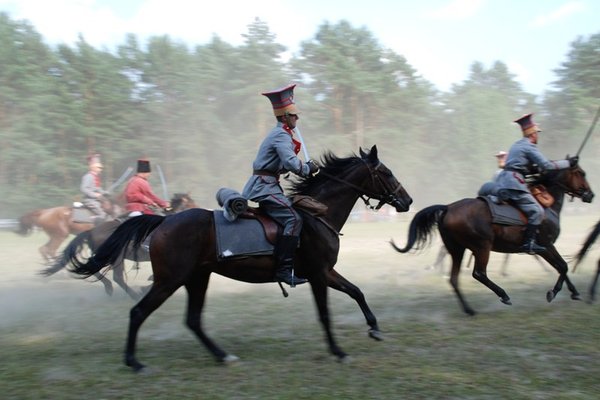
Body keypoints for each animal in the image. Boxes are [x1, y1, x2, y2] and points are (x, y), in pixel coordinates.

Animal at [39, 192, 197, 298]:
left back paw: (111, 288)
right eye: (190, 204)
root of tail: (92, 231)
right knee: (117, 277)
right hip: (115, 258)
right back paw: (132, 294)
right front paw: (145, 288)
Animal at [65, 145, 412, 370]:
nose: (407, 200)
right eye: (386, 172)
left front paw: (374, 328)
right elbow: (326, 314)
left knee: (192, 320)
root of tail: (164, 223)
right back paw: (133, 361)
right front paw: (339, 351)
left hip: (196, 278)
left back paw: (222, 356)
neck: (318, 213)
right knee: (138, 310)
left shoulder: (326, 272)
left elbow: (357, 291)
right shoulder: (318, 274)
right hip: (170, 280)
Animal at [392, 165, 592, 316]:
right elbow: (562, 266)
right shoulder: (546, 246)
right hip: (482, 247)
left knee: (454, 279)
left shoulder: (545, 248)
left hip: (457, 250)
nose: (590, 195)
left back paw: (469, 309)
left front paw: (574, 292)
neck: (545, 205)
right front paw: (553, 292)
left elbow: (561, 267)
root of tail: (447, 208)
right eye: (581, 173)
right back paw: (503, 295)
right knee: (479, 273)